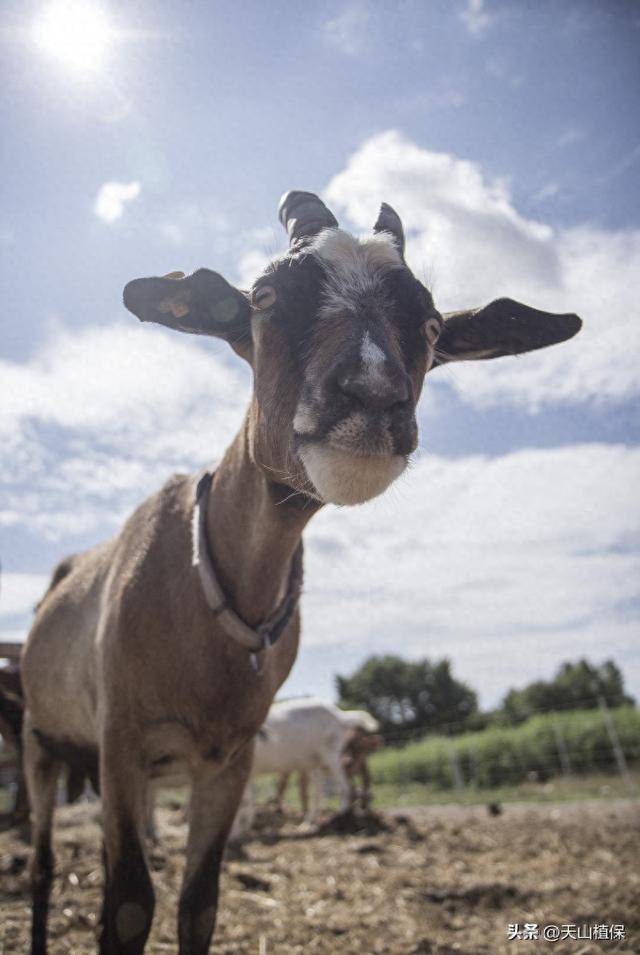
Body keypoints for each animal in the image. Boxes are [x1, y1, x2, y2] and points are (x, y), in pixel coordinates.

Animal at [20, 190, 584, 952]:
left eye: (432, 321)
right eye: (263, 297)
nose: (372, 397)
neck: (201, 591)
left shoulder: (228, 760)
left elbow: (199, 902)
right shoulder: (121, 743)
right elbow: (130, 903)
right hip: (41, 743)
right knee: (44, 865)